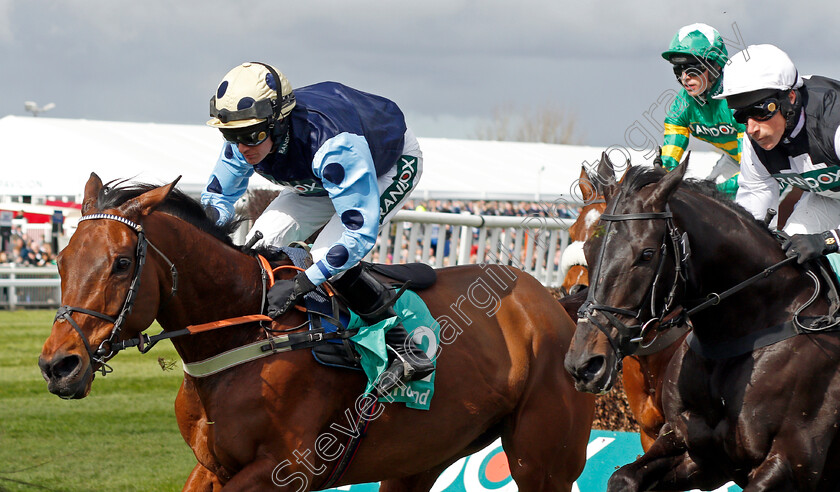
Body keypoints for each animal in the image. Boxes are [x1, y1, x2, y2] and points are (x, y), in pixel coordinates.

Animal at [36, 175, 592, 490]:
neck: (244, 334)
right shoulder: (211, 466)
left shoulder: (289, 470)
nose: (58, 365)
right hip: (423, 459)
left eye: (121, 263)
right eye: (61, 259)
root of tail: (554, 304)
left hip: (544, 464)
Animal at [560, 160, 840, 490]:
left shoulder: (790, 464)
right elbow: (623, 477)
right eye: (586, 246)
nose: (584, 364)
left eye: (646, 254)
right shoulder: (696, 451)